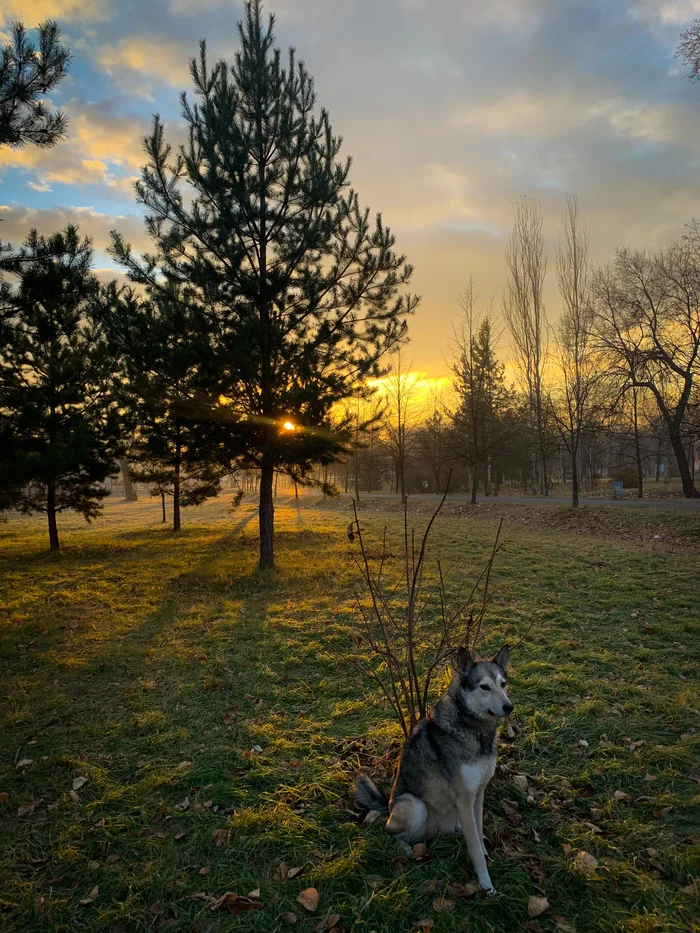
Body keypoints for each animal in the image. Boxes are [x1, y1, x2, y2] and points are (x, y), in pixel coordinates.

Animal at [352, 644, 512, 892]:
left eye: (502, 684)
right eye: (484, 687)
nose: (508, 707)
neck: (475, 728)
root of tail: (387, 806)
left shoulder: (478, 793)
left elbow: (478, 831)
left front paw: (486, 853)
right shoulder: (464, 798)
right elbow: (475, 849)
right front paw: (486, 885)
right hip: (414, 806)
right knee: (390, 832)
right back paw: (407, 849)